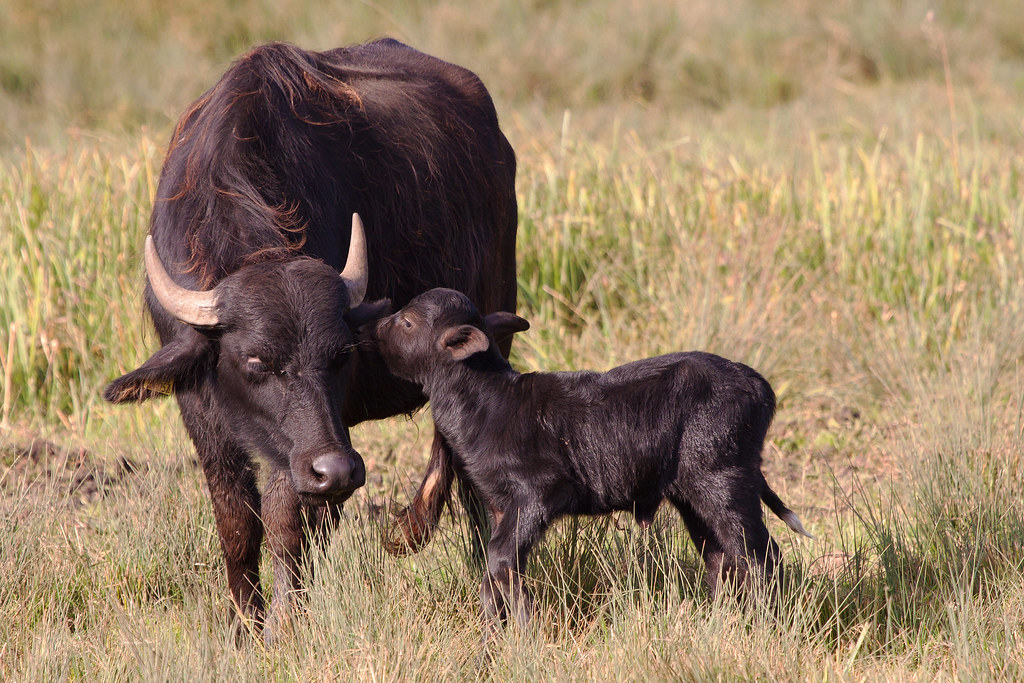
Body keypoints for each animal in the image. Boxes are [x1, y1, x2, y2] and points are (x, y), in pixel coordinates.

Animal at [105, 39, 517, 638]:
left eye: (340, 356)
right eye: (255, 362)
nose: (338, 469)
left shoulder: (310, 438)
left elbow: (283, 519)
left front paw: (284, 620)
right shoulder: (200, 408)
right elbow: (236, 520)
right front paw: (245, 622)